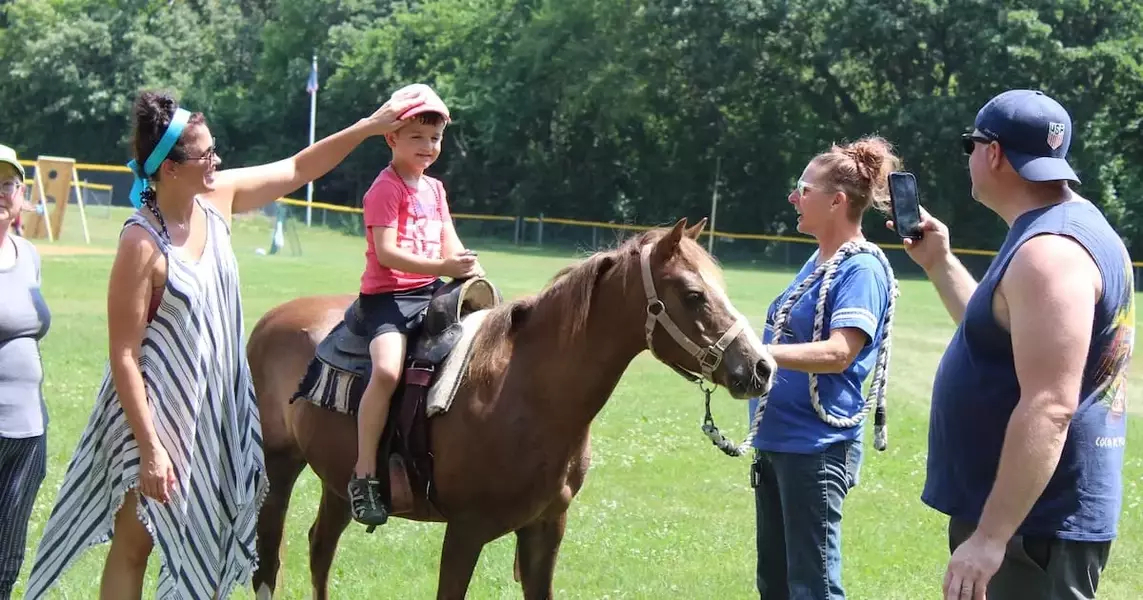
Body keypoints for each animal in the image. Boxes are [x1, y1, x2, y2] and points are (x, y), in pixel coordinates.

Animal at [245, 217, 772, 594]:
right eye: (694, 294)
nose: (761, 367)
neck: (525, 392)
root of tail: (270, 320)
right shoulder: (465, 532)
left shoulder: (545, 530)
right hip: (278, 467)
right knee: (269, 562)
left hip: (338, 480)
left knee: (320, 549)